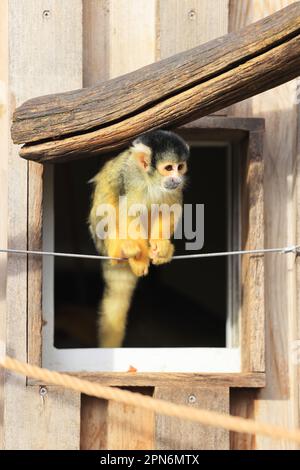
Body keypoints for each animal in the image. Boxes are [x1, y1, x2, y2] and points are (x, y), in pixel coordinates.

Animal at [88, 130, 189, 346]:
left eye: (180, 167)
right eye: (169, 168)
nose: (176, 179)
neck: (151, 180)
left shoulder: (172, 189)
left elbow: (169, 210)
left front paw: (161, 246)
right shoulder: (132, 178)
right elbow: (129, 213)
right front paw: (139, 258)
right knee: (108, 208)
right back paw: (123, 249)